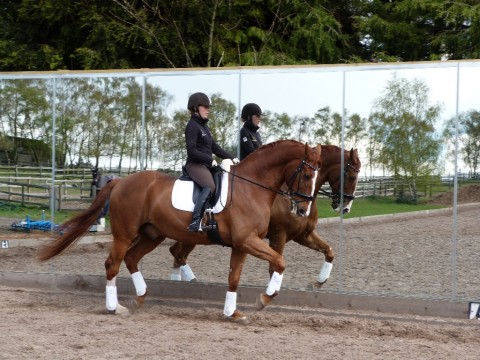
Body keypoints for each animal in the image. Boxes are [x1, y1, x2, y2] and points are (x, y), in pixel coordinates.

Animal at [38, 139, 322, 322]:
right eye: (308, 176)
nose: (303, 210)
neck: (251, 187)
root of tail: (119, 181)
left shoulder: (242, 244)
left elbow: (234, 277)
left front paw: (233, 312)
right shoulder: (248, 240)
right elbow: (280, 261)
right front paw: (264, 299)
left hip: (152, 234)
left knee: (131, 259)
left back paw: (140, 298)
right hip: (125, 234)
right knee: (113, 264)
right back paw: (114, 307)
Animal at [124, 145, 360, 288]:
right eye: (351, 175)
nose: (346, 207)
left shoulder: (303, 234)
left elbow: (329, 251)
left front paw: (318, 282)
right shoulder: (278, 235)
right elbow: (274, 266)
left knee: (176, 253)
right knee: (177, 253)